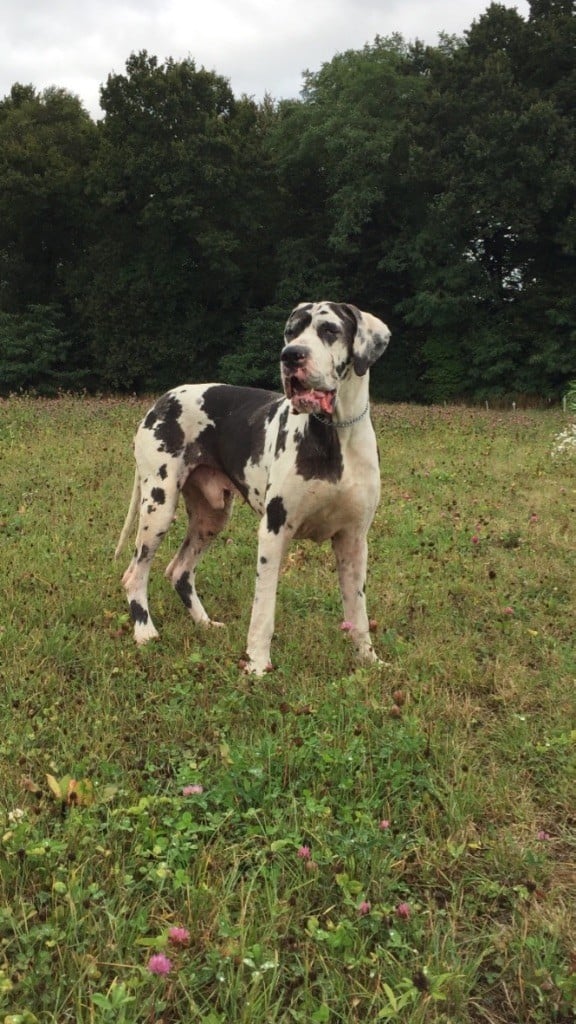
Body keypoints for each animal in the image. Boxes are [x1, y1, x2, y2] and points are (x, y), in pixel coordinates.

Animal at [114, 299, 387, 675]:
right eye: (290, 331)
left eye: (330, 330)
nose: (291, 355)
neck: (335, 435)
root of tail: (162, 400)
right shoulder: (273, 532)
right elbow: (263, 610)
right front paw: (257, 664)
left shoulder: (354, 540)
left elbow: (357, 611)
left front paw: (368, 660)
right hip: (158, 507)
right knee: (135, 574)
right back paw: (144, 631)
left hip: (211, 518)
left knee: (179, 571)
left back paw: (204, 623)